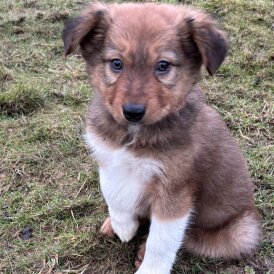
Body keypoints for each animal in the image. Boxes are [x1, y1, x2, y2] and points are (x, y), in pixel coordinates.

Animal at [62, 2, 262, 274]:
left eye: (163, 65)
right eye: (116, 63)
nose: (133, 112)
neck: (134, 135)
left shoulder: (175, 191)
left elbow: (162, 240)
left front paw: (149, 267)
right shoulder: (109, 159)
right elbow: (113, 194)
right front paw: (123, 226)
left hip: (239, 232)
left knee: (188, 237)